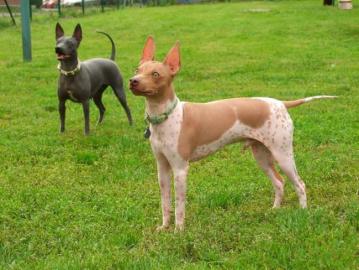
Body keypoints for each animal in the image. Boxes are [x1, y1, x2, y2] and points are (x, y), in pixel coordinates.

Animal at [129, 36, 338, 232]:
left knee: (300, 184)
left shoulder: (180, 169)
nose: (133, 81)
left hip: (283, 154)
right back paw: (275, 209)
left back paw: (303, 213)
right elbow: (165, 202)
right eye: (137, 70)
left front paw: (178, 231)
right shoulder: (162, 168)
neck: (167, 116)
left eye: (155, 74)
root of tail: (280, 103)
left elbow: (179, 206)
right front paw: (164, 227)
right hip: (262, 156)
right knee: (279, 183)